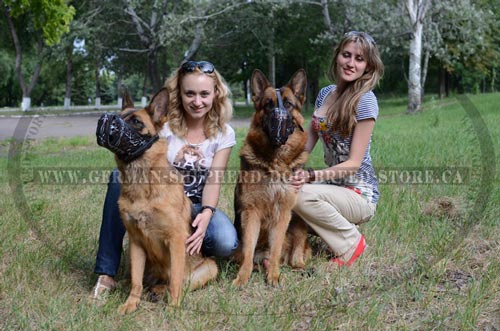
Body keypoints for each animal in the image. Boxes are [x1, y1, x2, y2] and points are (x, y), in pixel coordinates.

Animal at [95, 87, 217, 314]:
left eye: (136, 121)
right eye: (120, 115)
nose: (106, 119)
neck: (143, 184)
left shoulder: (176, 241)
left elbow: (176, 280)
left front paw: (173, 308)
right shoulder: (136, 243)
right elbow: (136, 282)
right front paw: (131, 304)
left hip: (209, 268)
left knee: (179, 282)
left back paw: (160, 292)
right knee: (141, 280)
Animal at [233, 70, 308, 288]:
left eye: (288, 104)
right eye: (268, 104)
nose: (279, 117)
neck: (275, 162)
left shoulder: (283, 213)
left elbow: (275, 249)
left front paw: (273, 276)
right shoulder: (251, 213)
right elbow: (248, 251)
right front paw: (243, 277)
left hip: (299, 224)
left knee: (293, 258)